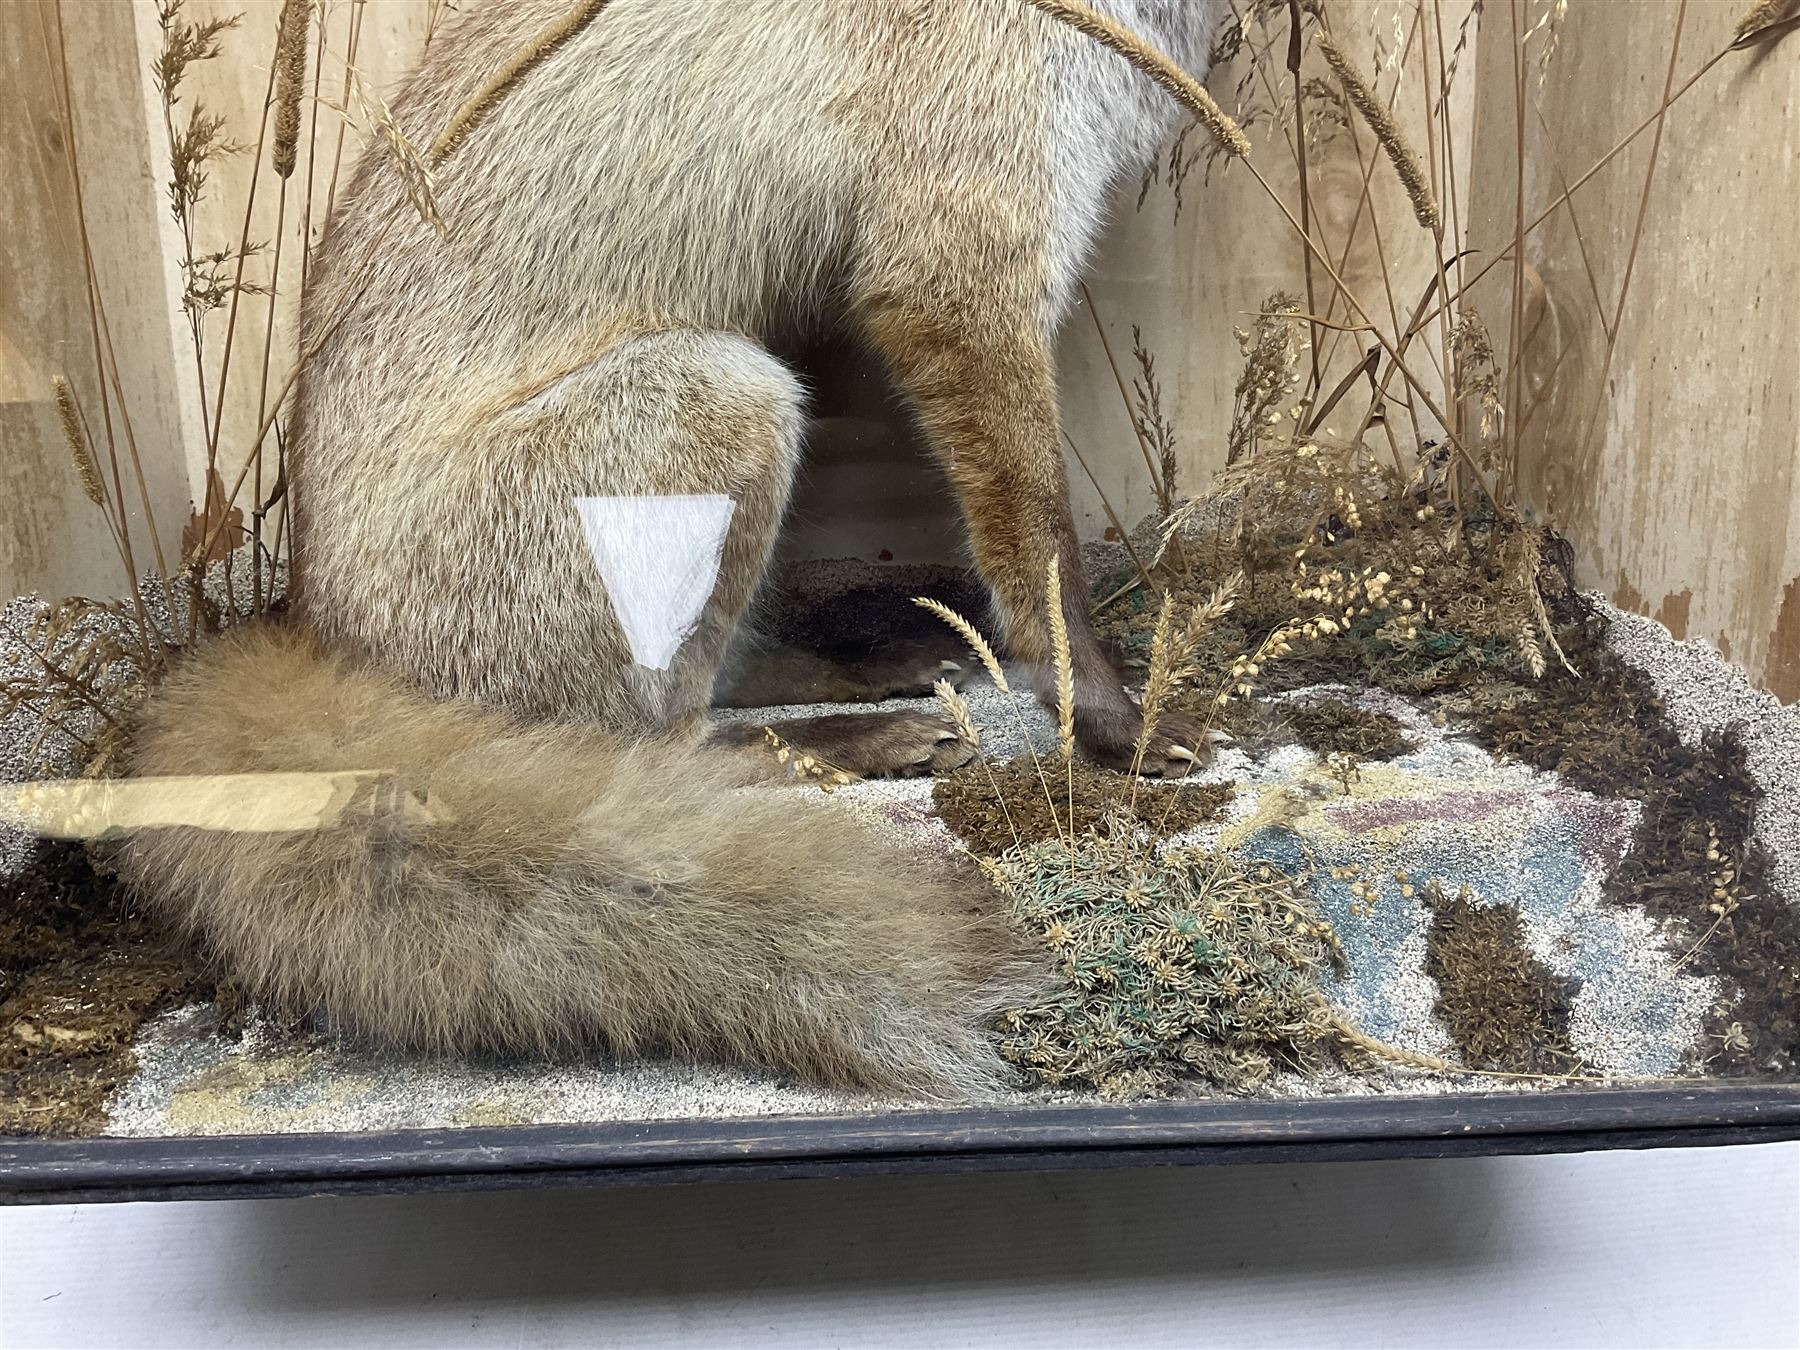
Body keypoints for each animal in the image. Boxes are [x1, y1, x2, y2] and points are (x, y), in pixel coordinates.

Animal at [121, 0, 1228, 1097]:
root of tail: (313, 623)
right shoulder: (959, 265)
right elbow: (1044, 548)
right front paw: (1109, 718)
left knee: (729, 677)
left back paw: (866, 668)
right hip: (731, 400)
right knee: (665, 751)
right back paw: (850, 743)